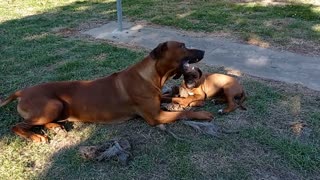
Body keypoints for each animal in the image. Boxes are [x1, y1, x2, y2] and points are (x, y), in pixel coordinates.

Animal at [1, 40, 215, 142]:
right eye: (183, 45)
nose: (204, 51)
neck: (152, 76)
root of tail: (21, 92)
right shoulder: (156, 117)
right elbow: (182, 114)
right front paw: (203, 114)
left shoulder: (158, 98)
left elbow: (172, 99)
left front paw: (186, 100)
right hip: (53, 104)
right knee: (18, 126)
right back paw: (36, 136)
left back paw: (56, 127)